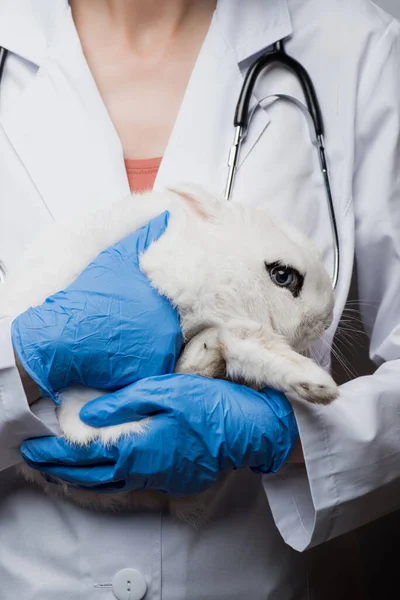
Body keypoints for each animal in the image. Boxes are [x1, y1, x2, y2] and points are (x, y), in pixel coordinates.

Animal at [0, 185, 338, 524]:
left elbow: (252, 351)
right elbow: (253, 344)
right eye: (282, 275)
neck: (220, 266)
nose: (325, 321)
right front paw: (320, 384)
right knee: (77, 416)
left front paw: (319, 389)